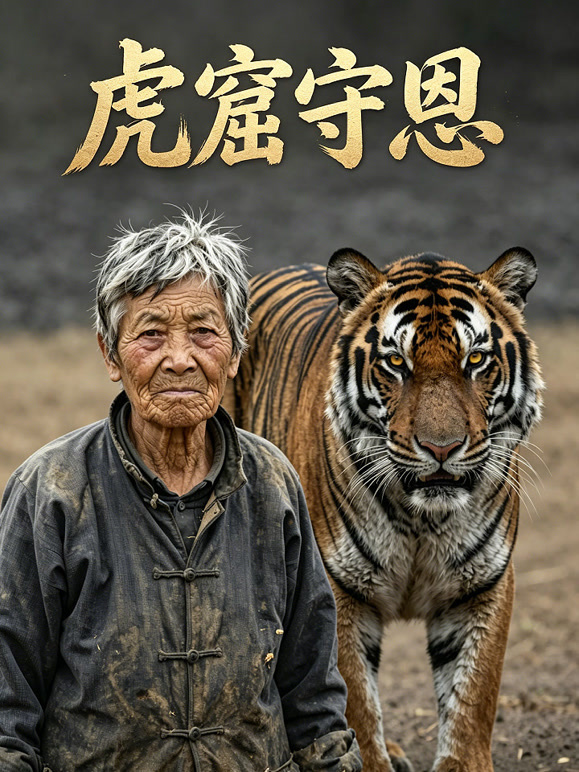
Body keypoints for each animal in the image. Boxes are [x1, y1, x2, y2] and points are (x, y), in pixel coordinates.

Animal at [225, 246, 543, 772]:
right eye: (396, 362)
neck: (422, 518)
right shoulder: (337, 587)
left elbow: (473, 695)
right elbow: (353, 698)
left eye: (476, 359)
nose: (442, 448)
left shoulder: (483, 583)